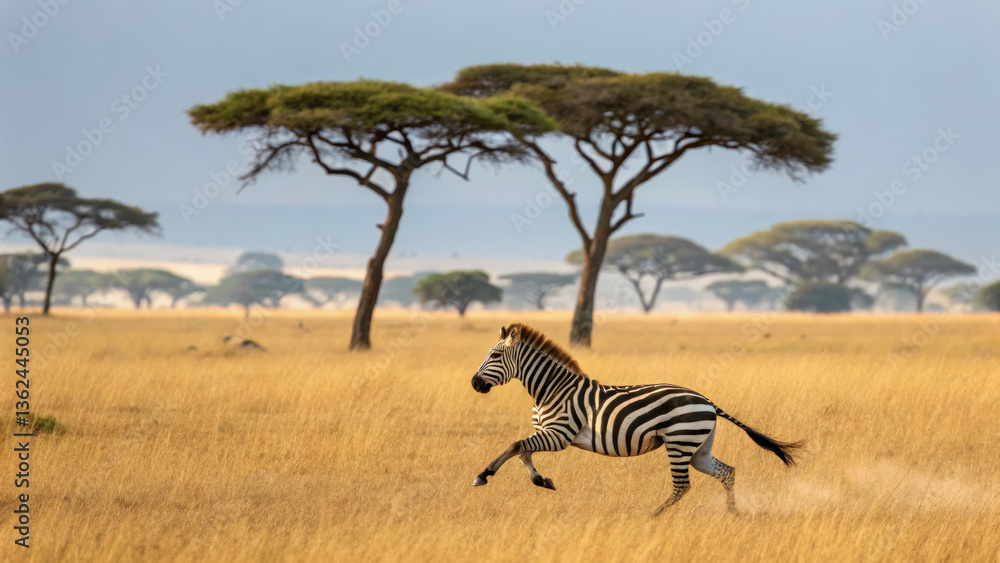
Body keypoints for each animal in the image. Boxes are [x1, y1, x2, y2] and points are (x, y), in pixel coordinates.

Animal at [469, 323, 802, 515]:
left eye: (495, 356)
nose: (474, 383)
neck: (552, 389)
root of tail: (707, 400)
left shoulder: (559, 434)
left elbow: (514, 446)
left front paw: (483, 474)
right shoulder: (547, 433)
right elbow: (523, 451)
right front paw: (542, 480)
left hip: (680, 442)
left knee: (683, 486)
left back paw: (653, 516)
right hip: (699, 448)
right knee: (727, 472)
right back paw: (732, 515)